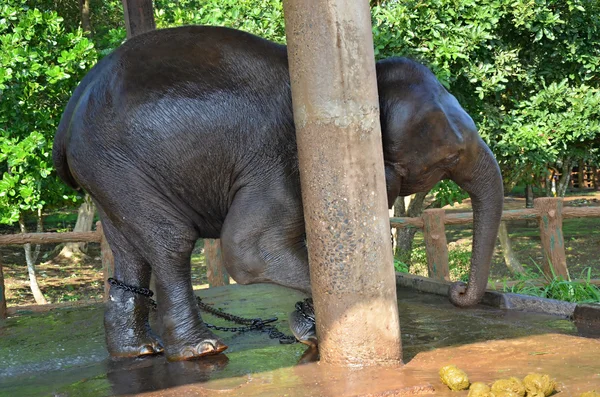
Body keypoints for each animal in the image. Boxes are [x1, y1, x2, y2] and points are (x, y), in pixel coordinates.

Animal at [51, 24, 504, 358]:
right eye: (451, 156)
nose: (458, 291)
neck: (364, 79)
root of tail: (71, 110)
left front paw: (307, 329)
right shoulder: (282, 161)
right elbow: (247, 249)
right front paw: (315, 327)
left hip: (111, 172)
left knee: (129, 249)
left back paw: (139, 350)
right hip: (119, 162)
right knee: (171, 241)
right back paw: (202, 349)